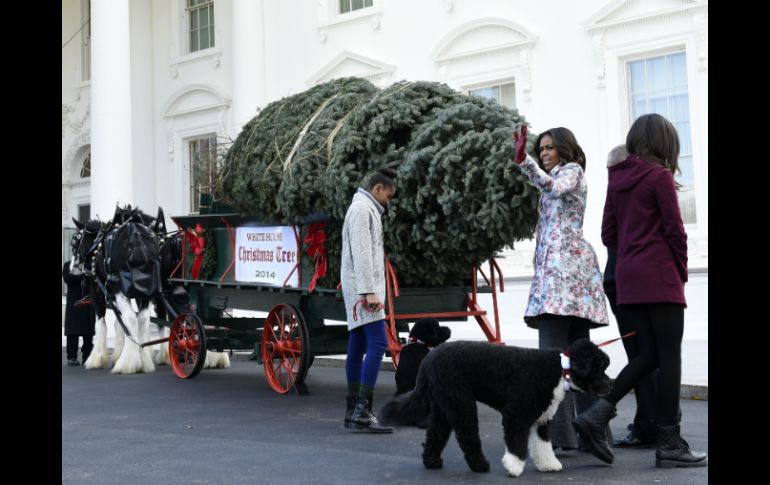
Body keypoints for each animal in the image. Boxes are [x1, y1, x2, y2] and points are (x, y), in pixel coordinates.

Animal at [380, 338, 608, 474]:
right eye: (597, 368)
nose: (610, 384)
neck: (561, 371)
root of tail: (428, 358)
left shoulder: (542, 419)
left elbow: (542, 445)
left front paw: (548, 464)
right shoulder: (515, 415)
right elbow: (517, 443)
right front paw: (513, 465)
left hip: (443, 406)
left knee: (436, 433)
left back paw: (432, 462)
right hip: (461, 403)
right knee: (467, 437)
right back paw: (480, 465)